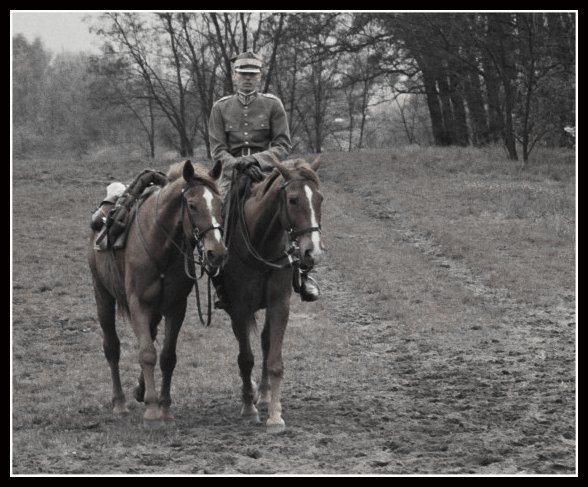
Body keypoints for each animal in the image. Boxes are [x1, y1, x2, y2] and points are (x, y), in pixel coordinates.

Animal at [88, 161, 226, 430]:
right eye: (192, 205)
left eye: (220, 203)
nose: (217, 253)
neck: (161, 245)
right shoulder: (138, 305)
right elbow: (147, 354)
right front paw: (152, 411)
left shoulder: (175, 308)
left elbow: (167, 356)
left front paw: (165, 407)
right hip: (103, 296)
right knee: (112, 348)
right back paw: (119, 402)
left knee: (150, 337)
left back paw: (139, 390)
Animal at [218, 157, 324, 434]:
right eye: (293, 200)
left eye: (320, 198)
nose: (313, 252)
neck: (261, 241)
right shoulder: (239, 308)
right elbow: (245, 359)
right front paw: (248, 408)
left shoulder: (279, 304)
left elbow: (275, 360)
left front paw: (275, 415)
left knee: (266, 343)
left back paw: (264, 394)